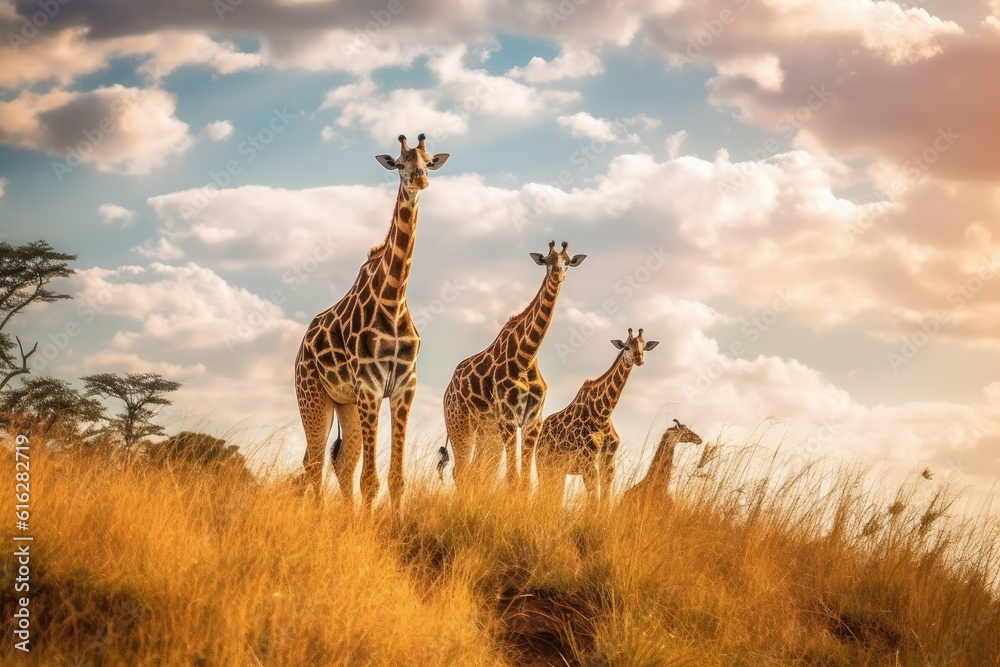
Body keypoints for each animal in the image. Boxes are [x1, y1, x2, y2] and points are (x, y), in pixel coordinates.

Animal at [294, 133, 449, 510]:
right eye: (399, 163)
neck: (393, 300)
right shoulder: (370, 388)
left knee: (338, 463)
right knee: (315, 461)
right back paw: (320, 514)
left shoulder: (405, 387)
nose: (420, 180)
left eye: (428, 161)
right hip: (312, 395)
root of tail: (301, 349)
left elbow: (396, 480)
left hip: (344, 403)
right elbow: (370, 480)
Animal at [442, 241, 586, 490]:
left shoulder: (532, 421)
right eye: (547, 260)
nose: (557, 274)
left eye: (567, 261)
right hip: (460, 423)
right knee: (461, 471)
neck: (526, 356)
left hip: (487, 431)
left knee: (478, 472)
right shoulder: (508, 418)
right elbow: (512, 478)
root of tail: (446, 393)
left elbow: (525, 481)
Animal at [531, 328, 659, 505]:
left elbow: (605, 500)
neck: (602, 414)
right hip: (543, 464)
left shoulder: (609, 464)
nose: (639, 358)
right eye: (626, 346)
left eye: (644, 345)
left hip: (559, 470)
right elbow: (594, 501)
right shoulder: (588, 462)